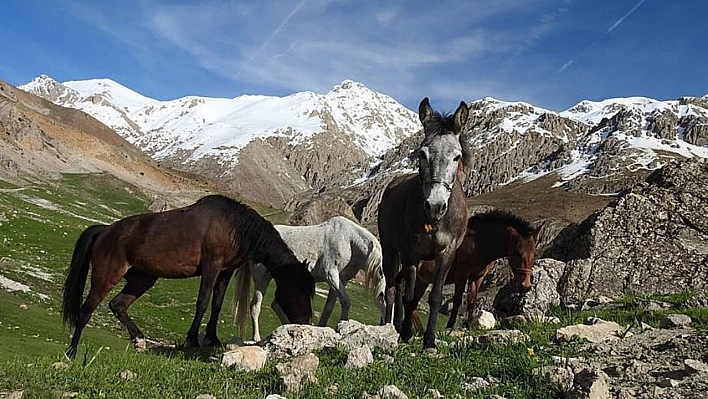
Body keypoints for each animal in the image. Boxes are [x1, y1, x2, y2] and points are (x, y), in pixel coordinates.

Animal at [62, 195, 314, 360]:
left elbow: (216, 304)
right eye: (300, 289)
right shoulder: (212, 267)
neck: (235, 226)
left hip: (142, 279)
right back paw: (72, 353)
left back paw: (139, 339)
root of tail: (104, 231)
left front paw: (212, 338)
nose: (306, 322)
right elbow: (202, 302)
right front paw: (192, 339)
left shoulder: (225, 272)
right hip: (106, 277)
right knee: (85, 312)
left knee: (118, 305)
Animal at [235, 216, 384, 340]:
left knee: (275, 303)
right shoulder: (331, 275)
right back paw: (256, 338)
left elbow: (328, 309)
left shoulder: (340, 281)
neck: (349, 240)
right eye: (382, 295)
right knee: (255, 306)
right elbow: (346, 302)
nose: (385, 321)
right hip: (262, 278)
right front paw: (342, 326)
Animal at [378, 97, 472, 350]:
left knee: (399, 285)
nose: (435, 206)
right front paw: (407, 334)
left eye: (457, 157)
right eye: (422, 153)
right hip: (390, 249)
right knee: (392, 288)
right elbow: (410, 296)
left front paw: (429, 340)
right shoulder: (411, 253)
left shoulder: (446, 253)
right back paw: (389, 328)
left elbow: (435, 296)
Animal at [414, 211, 544, 330]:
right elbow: (458, 299)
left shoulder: (477, 276)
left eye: (535, 254)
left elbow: (472, 299)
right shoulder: (462, 274)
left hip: (422, 280)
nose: (525, 286)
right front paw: (450, 326)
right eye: (518, 253)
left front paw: (467, 324)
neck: (478, 243)